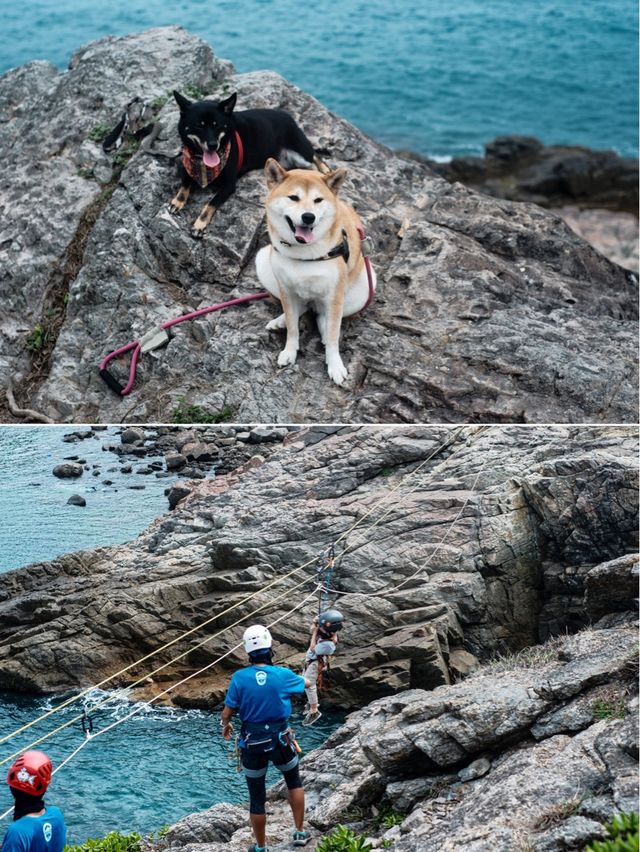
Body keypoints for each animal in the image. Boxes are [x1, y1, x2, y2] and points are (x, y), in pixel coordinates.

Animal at [169, 91, 320, 238]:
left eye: (217, 125)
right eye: (199, 126)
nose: (213, 145)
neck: (202, 164)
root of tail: (291, 119)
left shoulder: (229, 185)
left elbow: (210, 203)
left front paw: (199, 224)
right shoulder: (187, 166)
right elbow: (185, 185)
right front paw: (177, 201)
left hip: (301, 154)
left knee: (315, 162)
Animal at [255, 160, 376, 386]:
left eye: (318, 200)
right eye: (294, 197)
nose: (308, 217)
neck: (305, 254)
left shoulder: (335, 294)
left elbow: (334, 335)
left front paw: (335, 364)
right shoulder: (286, 289)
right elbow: (293, 328)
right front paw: (290, 351)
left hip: (365, 287)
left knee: (323, 317)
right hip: (262, 261)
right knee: (302, 308)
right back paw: (280, 320)